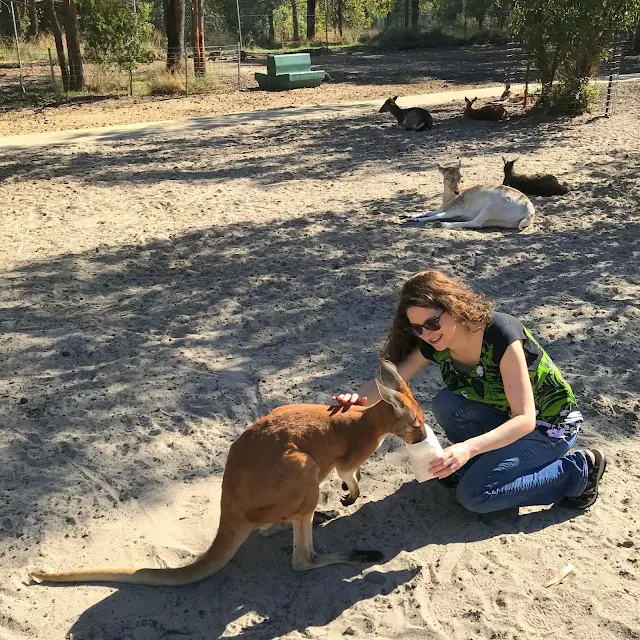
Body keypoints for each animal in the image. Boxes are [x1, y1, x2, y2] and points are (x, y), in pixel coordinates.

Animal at [31, 360, 430, 584]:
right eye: (417, 425)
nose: (425, 437)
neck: (369, 420)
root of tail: (231, 511)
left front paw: (348, 497)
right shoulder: (348, 456)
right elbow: (349, 472)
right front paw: (352, 494)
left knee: (273, 528)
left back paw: (320, 517)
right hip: (302, 469)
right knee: (301, 560)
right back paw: (358, 552)